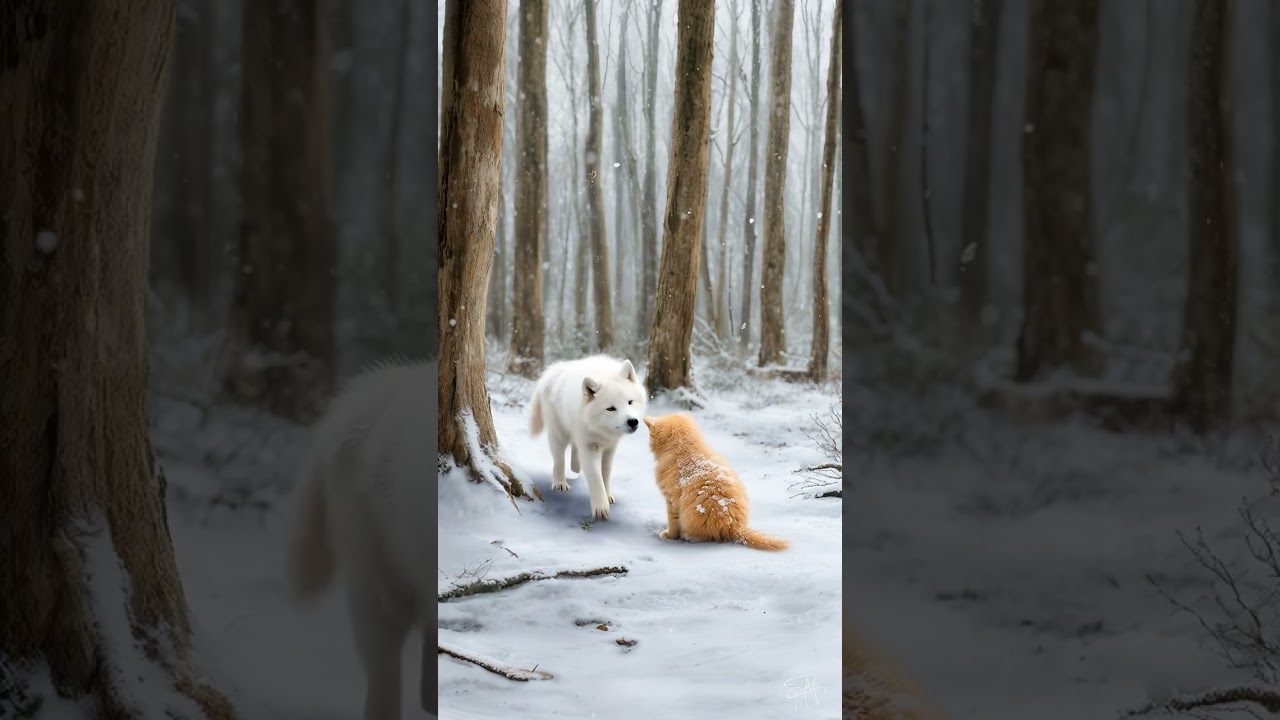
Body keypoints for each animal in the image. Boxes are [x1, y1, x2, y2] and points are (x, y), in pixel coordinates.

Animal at [528, 354, 648, 520]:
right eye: (611, 409)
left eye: (630, 402)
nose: (633, 422)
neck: (602, 430)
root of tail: (555, 369)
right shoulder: (589, 446)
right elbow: (595, 477)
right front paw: (600, 508)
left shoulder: (609, 448)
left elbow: (605, 475)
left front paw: (607, 496)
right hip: (559, 435)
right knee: (559, 460)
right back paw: (559, 482)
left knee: (574, 450)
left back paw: (575, 466)